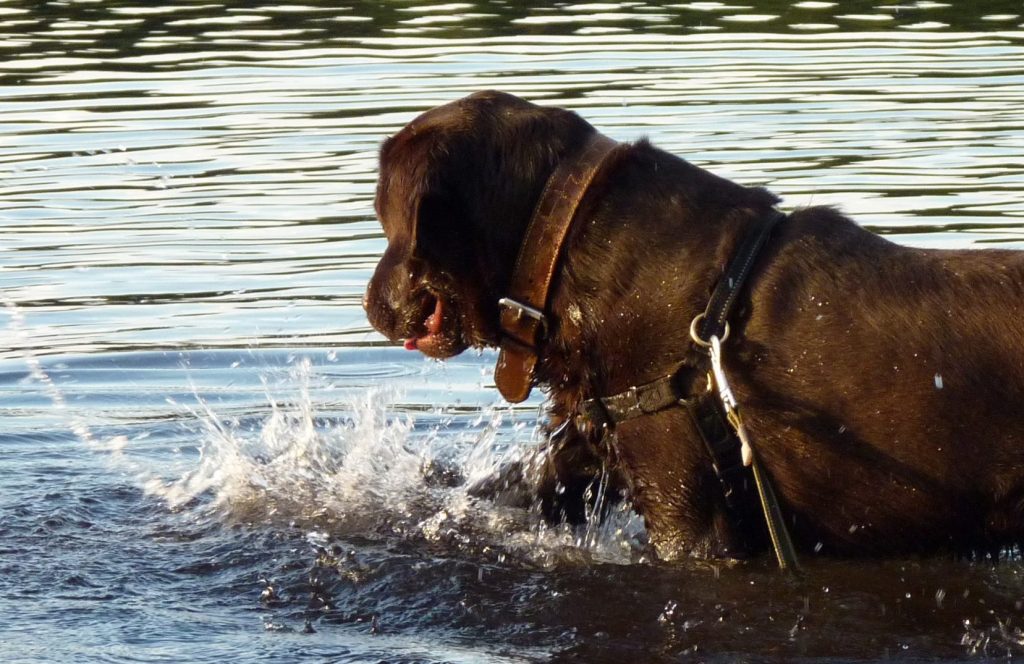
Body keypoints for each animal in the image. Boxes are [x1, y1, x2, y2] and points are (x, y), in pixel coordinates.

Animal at [364, 90, 1024, 561]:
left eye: (382, 211)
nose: (369, 302)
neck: (565, 244)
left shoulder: (685, 507)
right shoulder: (590, 441)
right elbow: (497, 492)